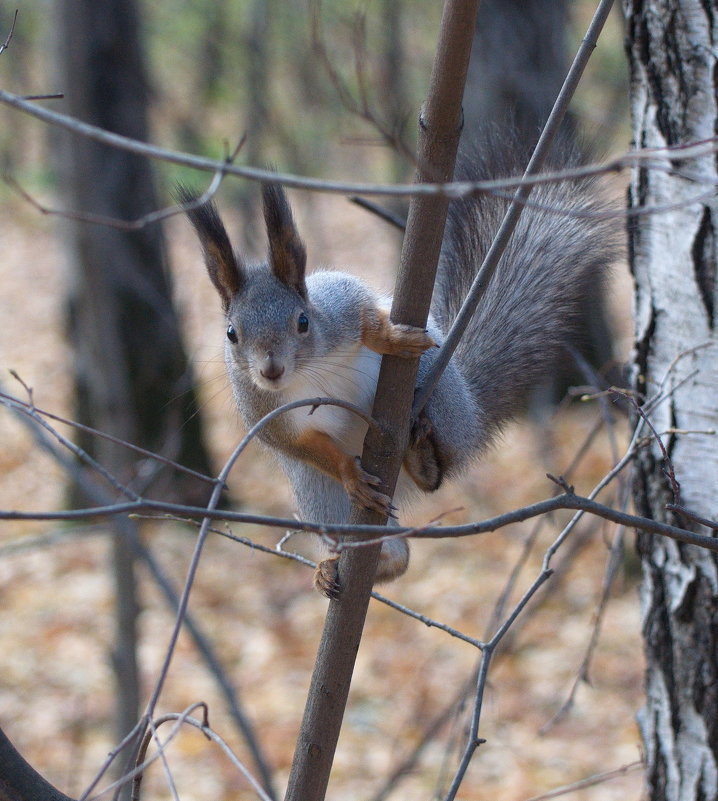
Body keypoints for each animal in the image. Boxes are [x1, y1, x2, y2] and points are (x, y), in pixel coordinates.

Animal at [180, 142, 620, 592]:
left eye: (303, 322)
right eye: (231, 333)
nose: (270, 371)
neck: (307, 371)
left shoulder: (340, 303)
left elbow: (364, 314)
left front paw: (390, 338)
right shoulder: (268, 415)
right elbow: (302, 444)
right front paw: (351, 475)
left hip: (440, 395)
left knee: (442, 465)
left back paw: (422, 460)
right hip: (318, 494)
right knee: (393, 551)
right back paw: (354, 563)